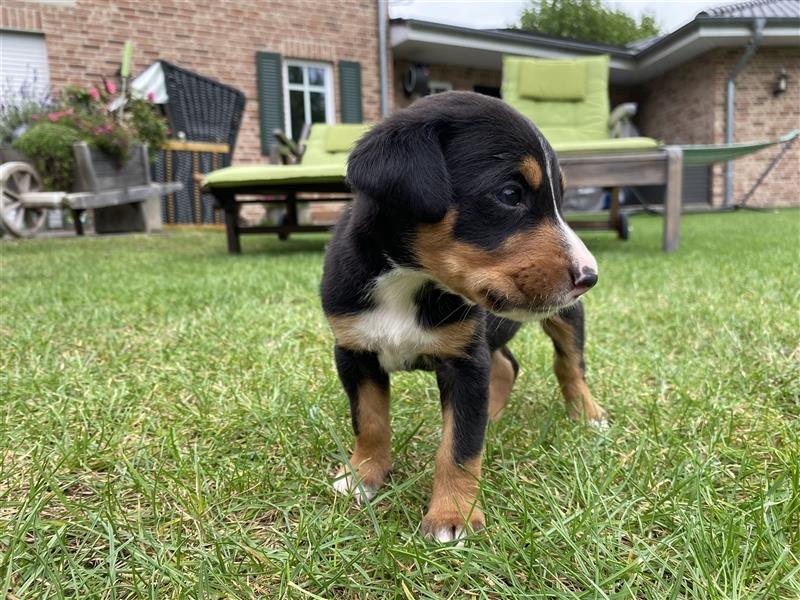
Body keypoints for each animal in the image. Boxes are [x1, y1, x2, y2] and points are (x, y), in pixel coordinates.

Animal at [322, 90, 604, 544]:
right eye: (509, 194)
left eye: (559, 203)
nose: (589, 276)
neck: (409, 280)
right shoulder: (354, 352)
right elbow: (369, 421)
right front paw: (362, 477)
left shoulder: (466, 362)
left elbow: (459, 446)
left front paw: (452, 516)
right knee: (508, 364)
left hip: (564, 318)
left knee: (570, 365)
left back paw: (588, 414)